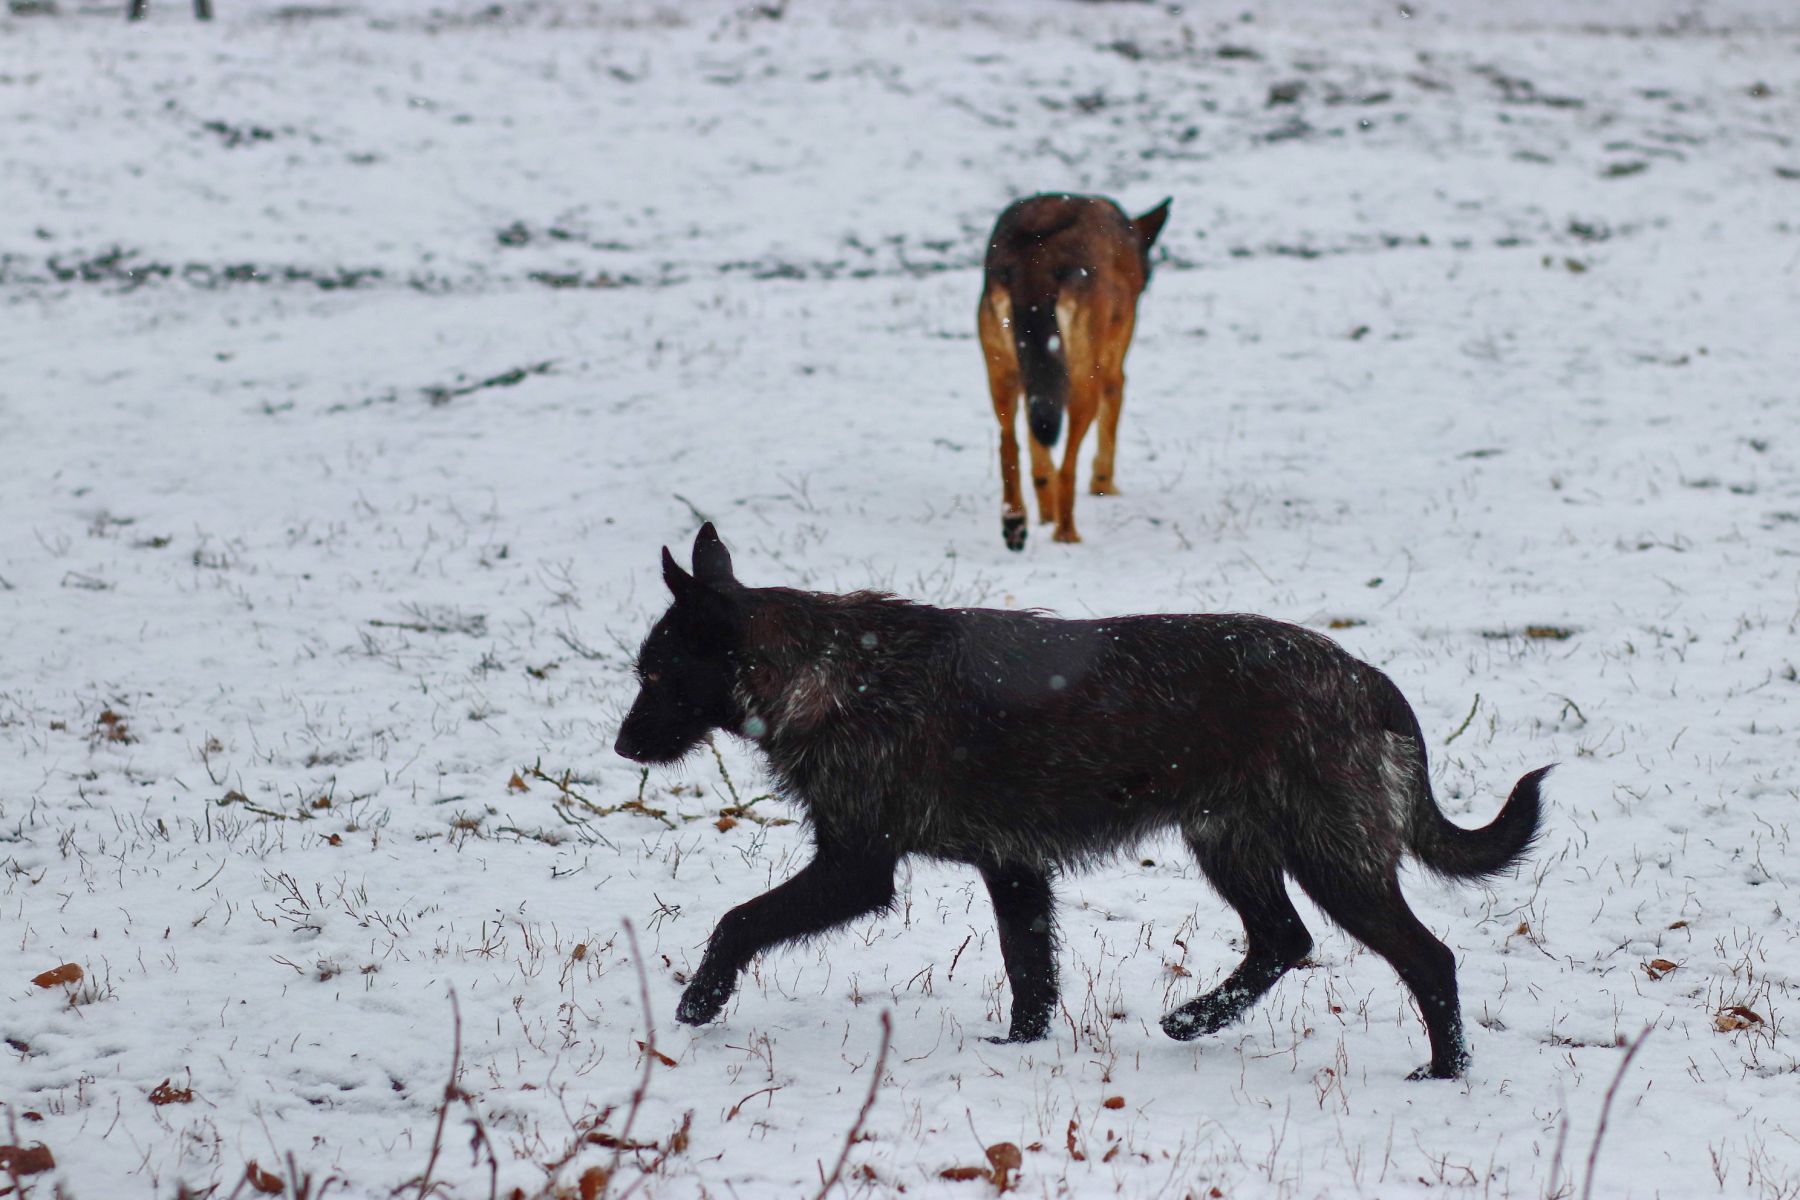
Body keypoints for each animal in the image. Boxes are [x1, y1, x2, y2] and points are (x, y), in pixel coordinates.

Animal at [615, 525, 1548, 1079]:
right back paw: (1196, 1020)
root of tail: (1368, 681)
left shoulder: (856, 867)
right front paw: (1018, 1053)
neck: (830, 668)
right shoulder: (1013, 868)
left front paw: (699, 1002)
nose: (623, 747)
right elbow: (1031, 974)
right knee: (1283, 939)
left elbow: (740, 920)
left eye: (656, 676)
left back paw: (1445, 1072)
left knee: (1427, 959)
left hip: (1330, 860)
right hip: (1229, 842)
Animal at [979, 195, 1173, 550]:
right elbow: (1106, 437)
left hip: (1001, 373)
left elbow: (1040, 463)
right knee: (1067, 466)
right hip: (1084, 384)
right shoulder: (1113, 373)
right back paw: (1066, 533)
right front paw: (1102, 487)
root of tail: (1037, 261)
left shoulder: (1037, 382)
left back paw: (1015, 522)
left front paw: (1045, 515)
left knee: (1008, 444)